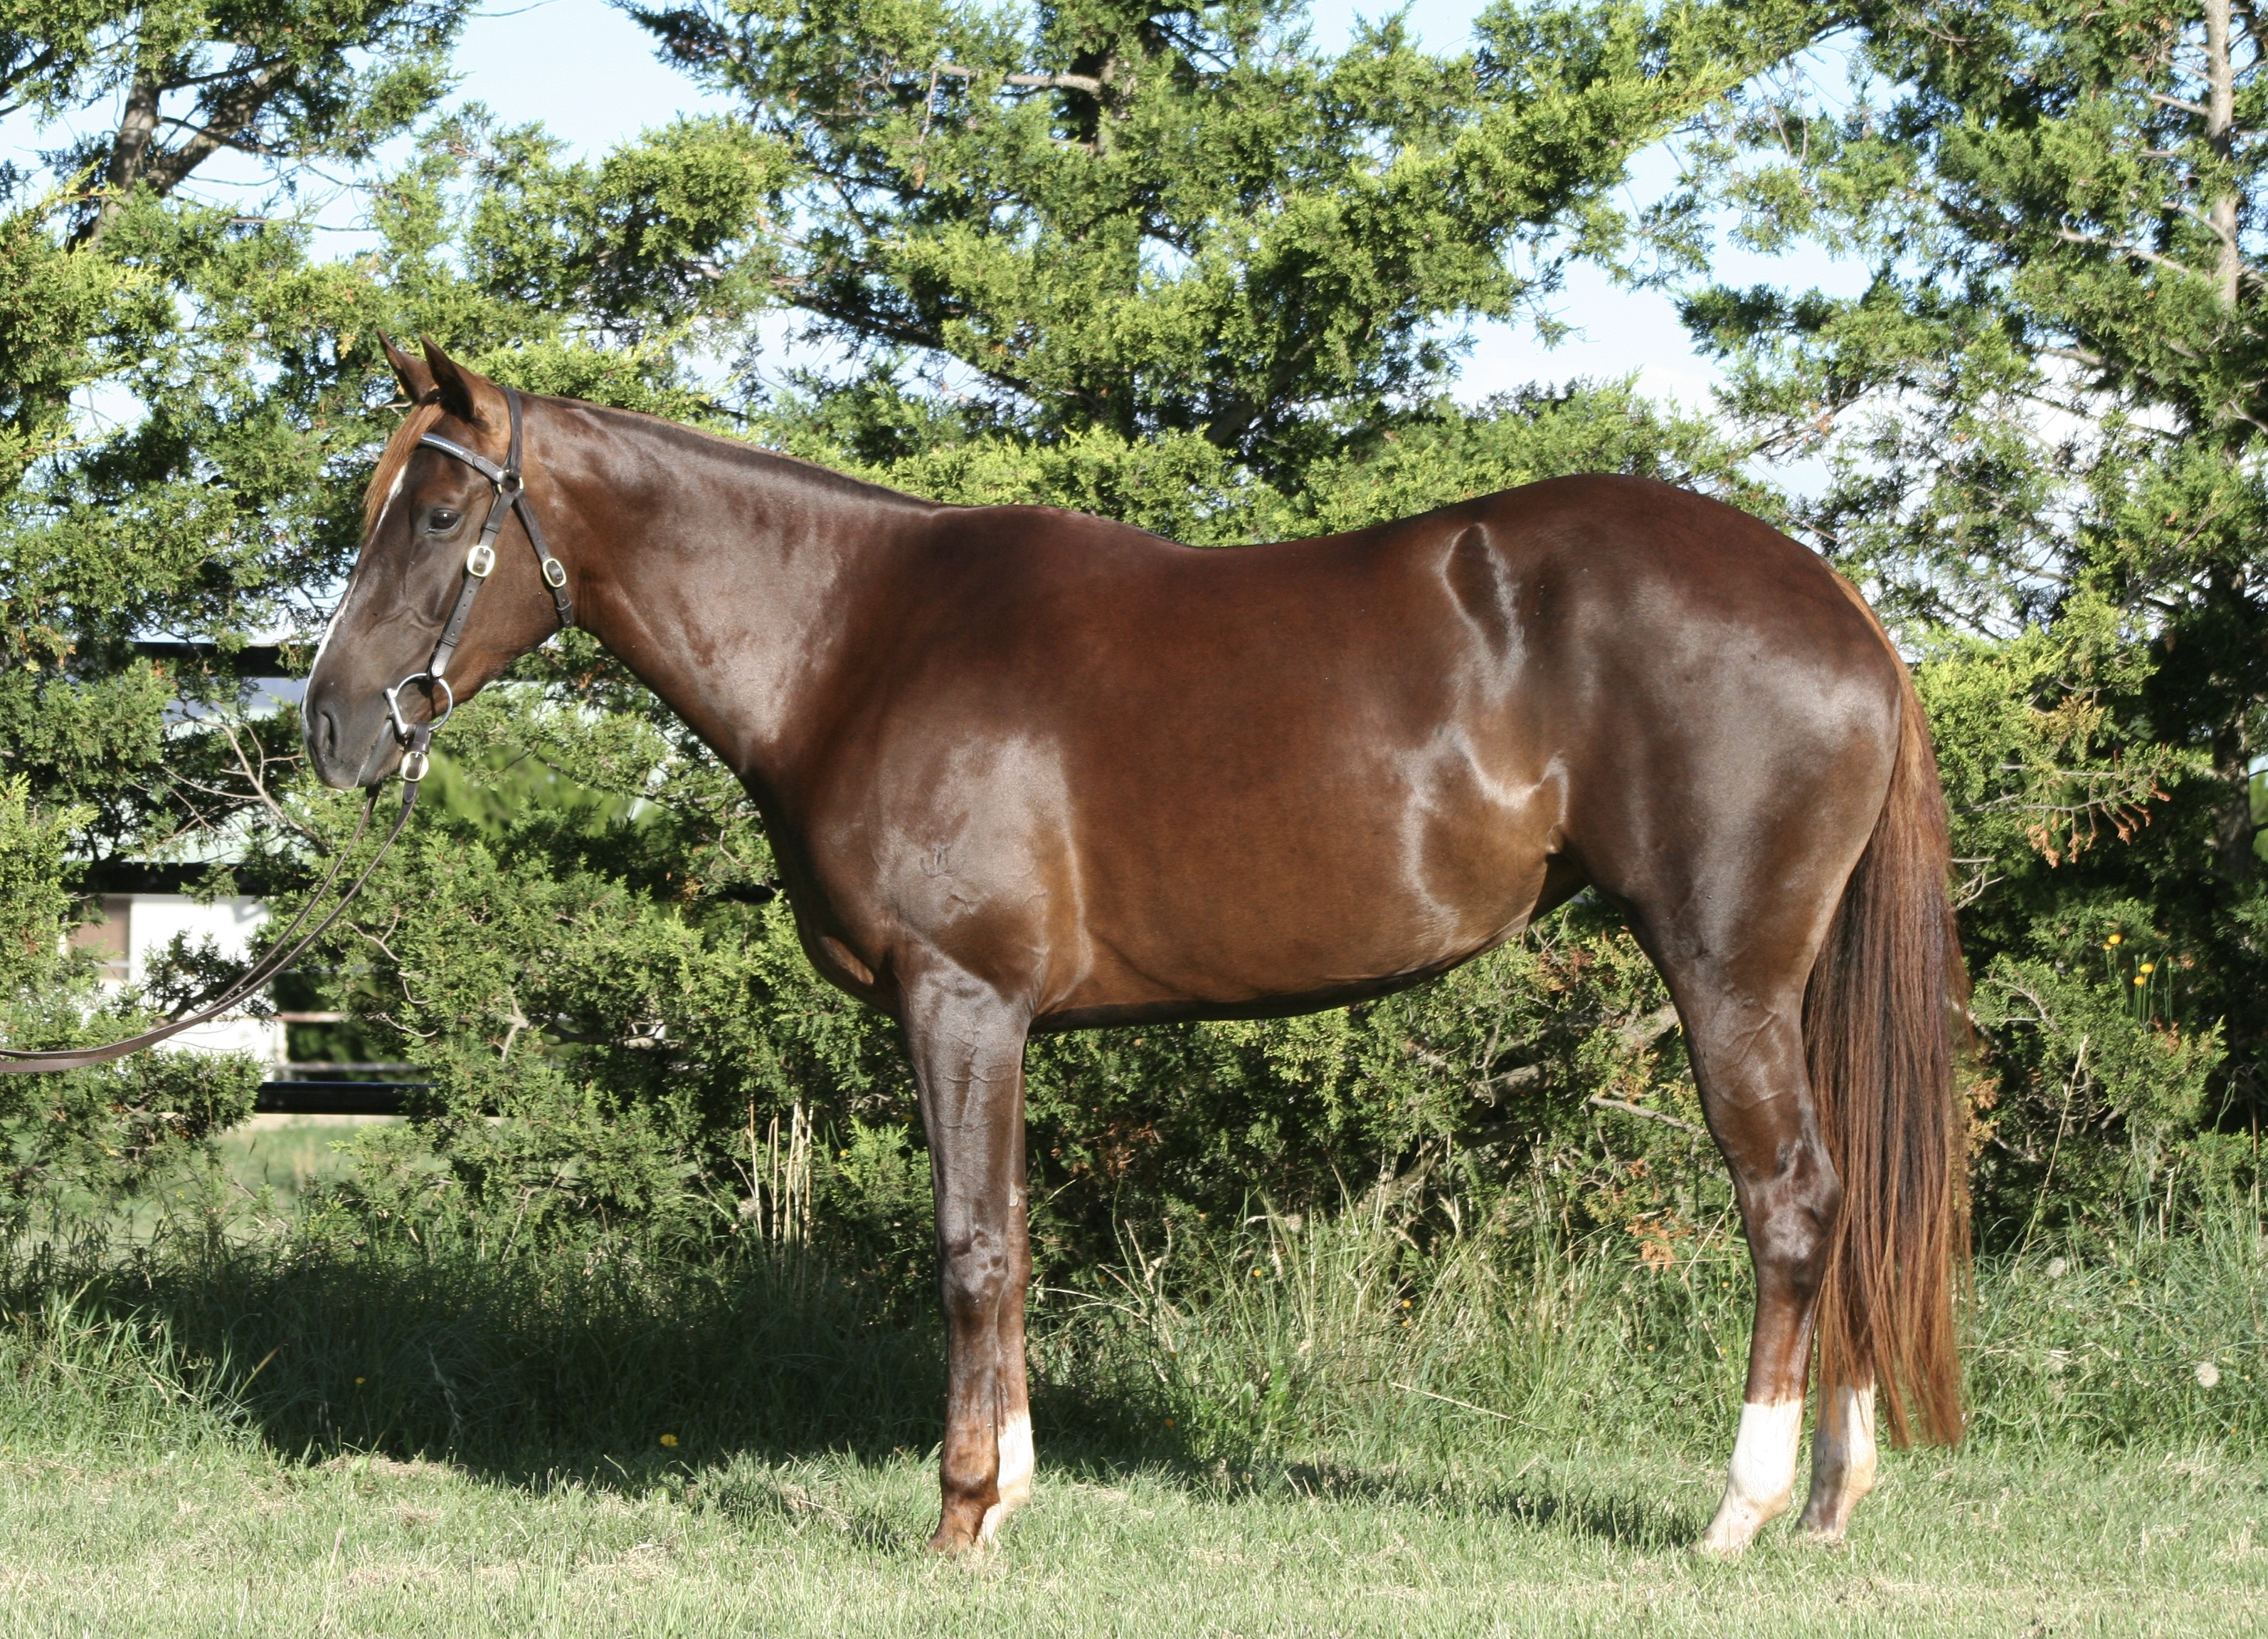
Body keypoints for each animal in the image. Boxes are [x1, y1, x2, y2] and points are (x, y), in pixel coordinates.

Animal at [305, 337, 1967, 1555]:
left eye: (438, 517)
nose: (329, 727)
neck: (852, 639)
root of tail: (1837, 607)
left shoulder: (958, 999)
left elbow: (970, 1248)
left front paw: (959, 1514)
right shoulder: (997, 1020)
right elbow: (1015, 1235)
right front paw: (1011, 1488)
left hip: (1723, 974)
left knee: (1792, 1204)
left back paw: (1742, 1509)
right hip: (1787, 985)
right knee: (1846, 1207)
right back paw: (1830, 1500)